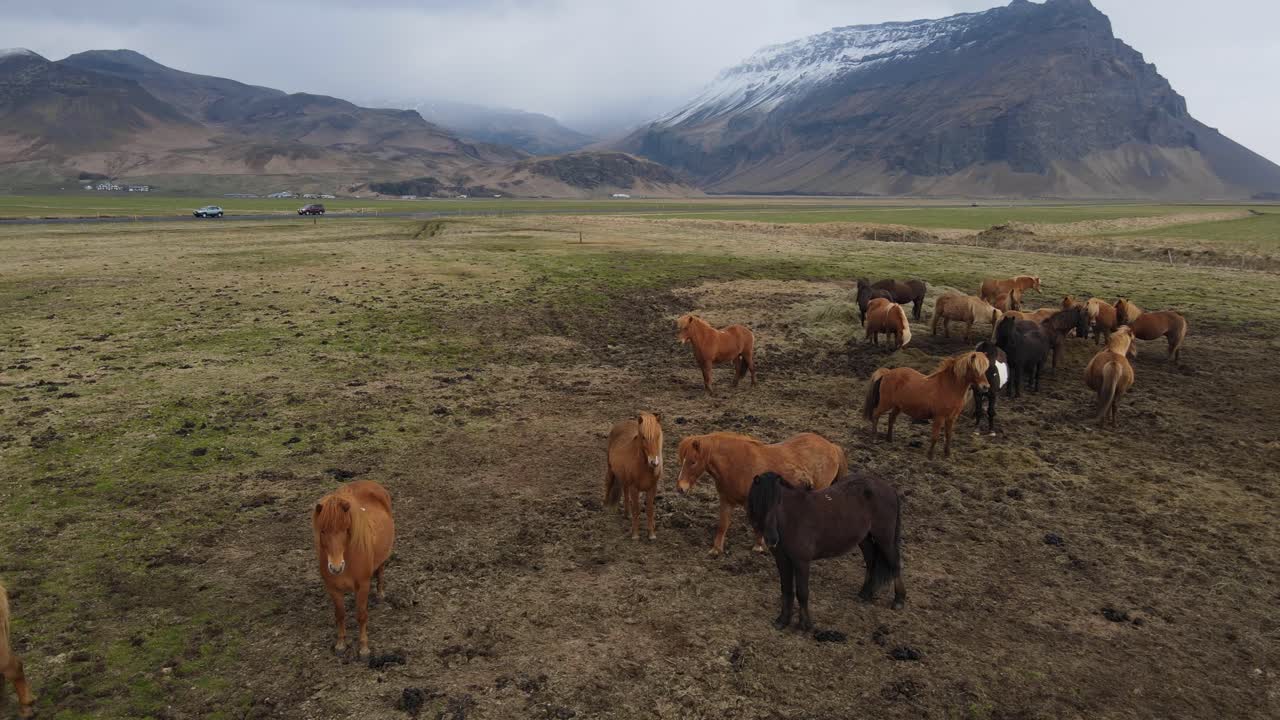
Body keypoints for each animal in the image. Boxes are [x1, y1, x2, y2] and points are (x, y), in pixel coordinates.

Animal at [313, 480, 396, 658]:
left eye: (345, 529)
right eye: (322, 531)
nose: (336, 568)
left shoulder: (363, 585)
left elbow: (361, 615)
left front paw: (364, 648)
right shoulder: (333, 588)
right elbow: (340, 615)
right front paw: (340, 644)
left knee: (381, 569)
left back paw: (380, 593)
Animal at [604, 412, 664, 541]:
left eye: (657, 436)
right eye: (643, 437)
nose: (654, 462)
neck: (645, 467)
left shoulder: (652, 488)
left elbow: (650, 510)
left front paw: (651, 535)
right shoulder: (634, 488)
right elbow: (636, 510)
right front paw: (635, 535)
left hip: (625, 479)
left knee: (625, 493)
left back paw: (627, 514)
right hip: (611, 469)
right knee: (608, 483)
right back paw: (605, 506)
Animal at [675, 432, 847, 556]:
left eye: (692, 462)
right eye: (682, 460)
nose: (680, 488)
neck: (736, 463)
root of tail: (832, 446)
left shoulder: (749, 502)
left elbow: (756, 524)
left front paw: (759, 546)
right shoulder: (726, 500)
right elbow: (723, 524)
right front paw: (716, 550)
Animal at [747, 471, 905, 631]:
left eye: (778, 503)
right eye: (759, 503)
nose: (772, 539)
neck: (791, 520)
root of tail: (889, 488)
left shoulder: (801, 562)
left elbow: (802, 592)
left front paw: (805, 624)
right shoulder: (782, 560)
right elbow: (786, 589)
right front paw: (782, 620)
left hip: (884, 539)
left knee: (894, 564)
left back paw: (899, 601)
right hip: (865, 539)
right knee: (871, 562)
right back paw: (865, 594)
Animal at [862, 351, 990, 459]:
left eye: (985, 369)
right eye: (975, 369)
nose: (986, 387)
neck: (949, 387)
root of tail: (888, 372)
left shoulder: (951, 418)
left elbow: (948, 436)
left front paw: (947, 455)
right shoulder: (939, 417)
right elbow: (935, 436)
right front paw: (930, 455)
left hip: (898, 406)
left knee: (891, 418)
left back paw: (889, 439)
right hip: (886, 403)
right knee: (876, 415)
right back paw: (874, 438)